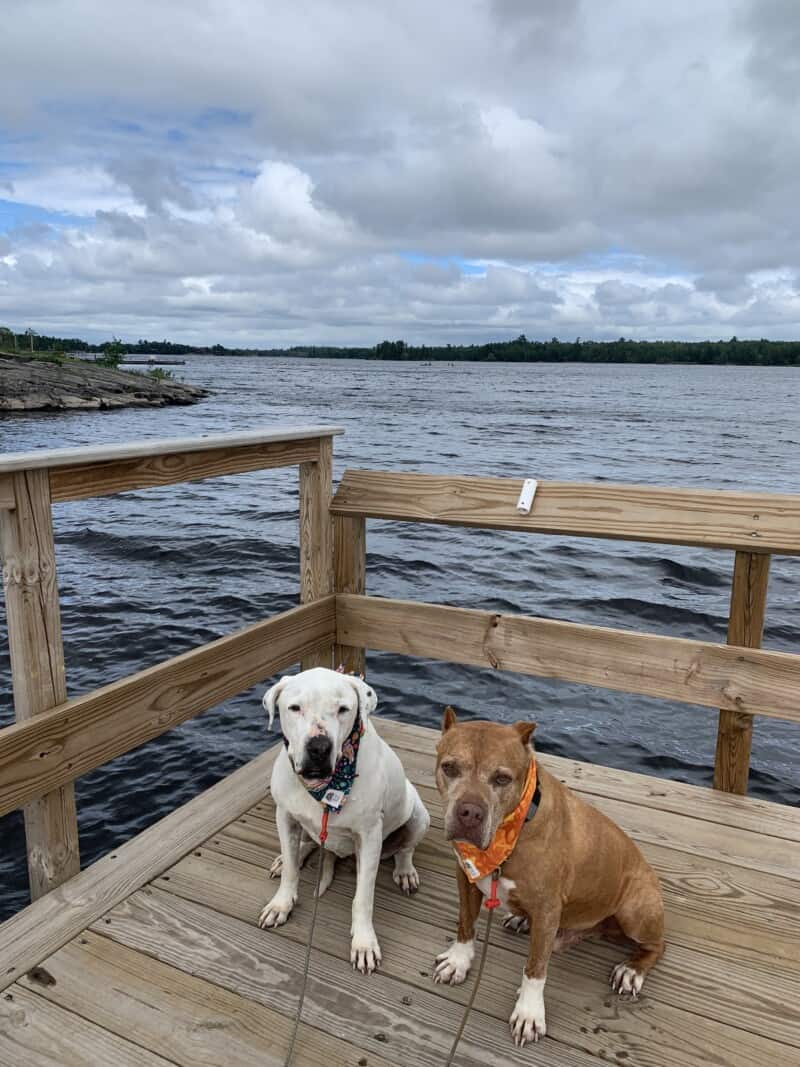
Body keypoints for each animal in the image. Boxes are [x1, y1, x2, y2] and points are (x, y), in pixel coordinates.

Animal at [260, 665, 428, 977]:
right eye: (294, 708)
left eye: (342, 709)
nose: (318, 746)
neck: (326, 787)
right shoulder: (285, 815)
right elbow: (291, 872)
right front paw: (281, 903)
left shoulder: (370, 835)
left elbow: (363, 897)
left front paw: (364, 943)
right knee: (305, 845)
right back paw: (291, 855)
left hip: (419, 815)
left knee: (405, 848)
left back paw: (405, 870)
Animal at [435, 712, 665, 1045]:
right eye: (449, 768)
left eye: (502, 778)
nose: (469, 813)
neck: (513, 831)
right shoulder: (465, 876)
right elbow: (466, 924)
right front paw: (458, 961)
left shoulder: (547, 909)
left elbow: (535, 969)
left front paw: (529, 1012)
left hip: (636, 909)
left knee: (657, 945)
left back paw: (632, 970)